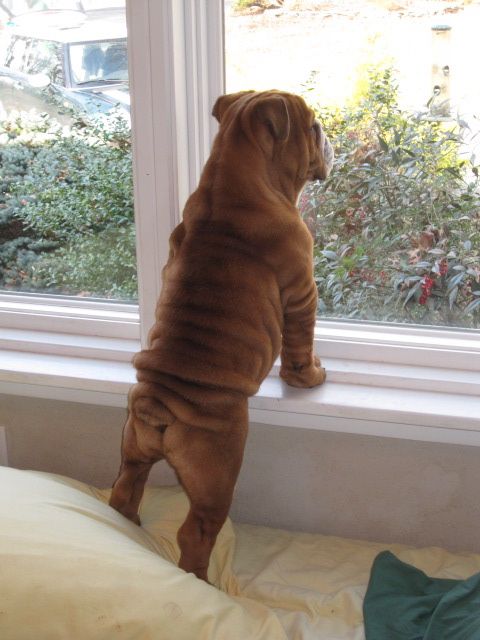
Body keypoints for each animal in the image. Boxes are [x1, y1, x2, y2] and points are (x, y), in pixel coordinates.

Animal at [109, 91, 334, 584]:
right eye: (313, 127)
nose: (327, 134)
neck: (231, 182)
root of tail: (161, 408)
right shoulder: (302, 291)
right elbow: (300, 346)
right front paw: (310, 377)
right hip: (218, 475)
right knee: (196, 532)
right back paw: (201, 579)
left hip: (131, 447)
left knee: (125, 487)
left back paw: (129, 523)